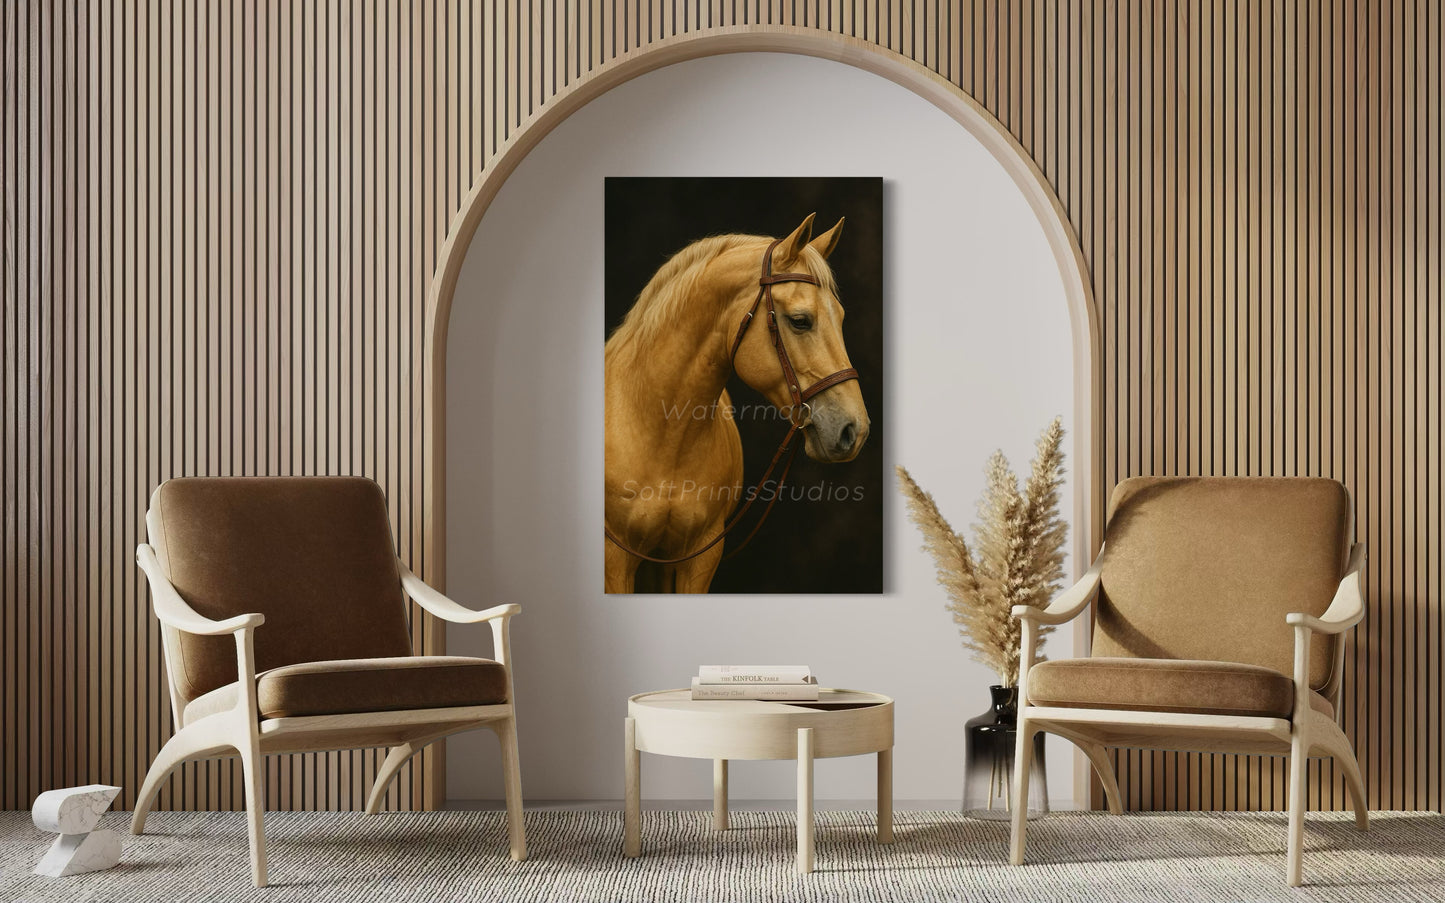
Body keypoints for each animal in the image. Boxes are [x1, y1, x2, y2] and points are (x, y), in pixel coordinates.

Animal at [604, 213, 871, 594]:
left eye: (842, 316)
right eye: (800, 321)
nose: (855, 429)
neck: (659, 430)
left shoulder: (700, 557)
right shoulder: (616, 560)